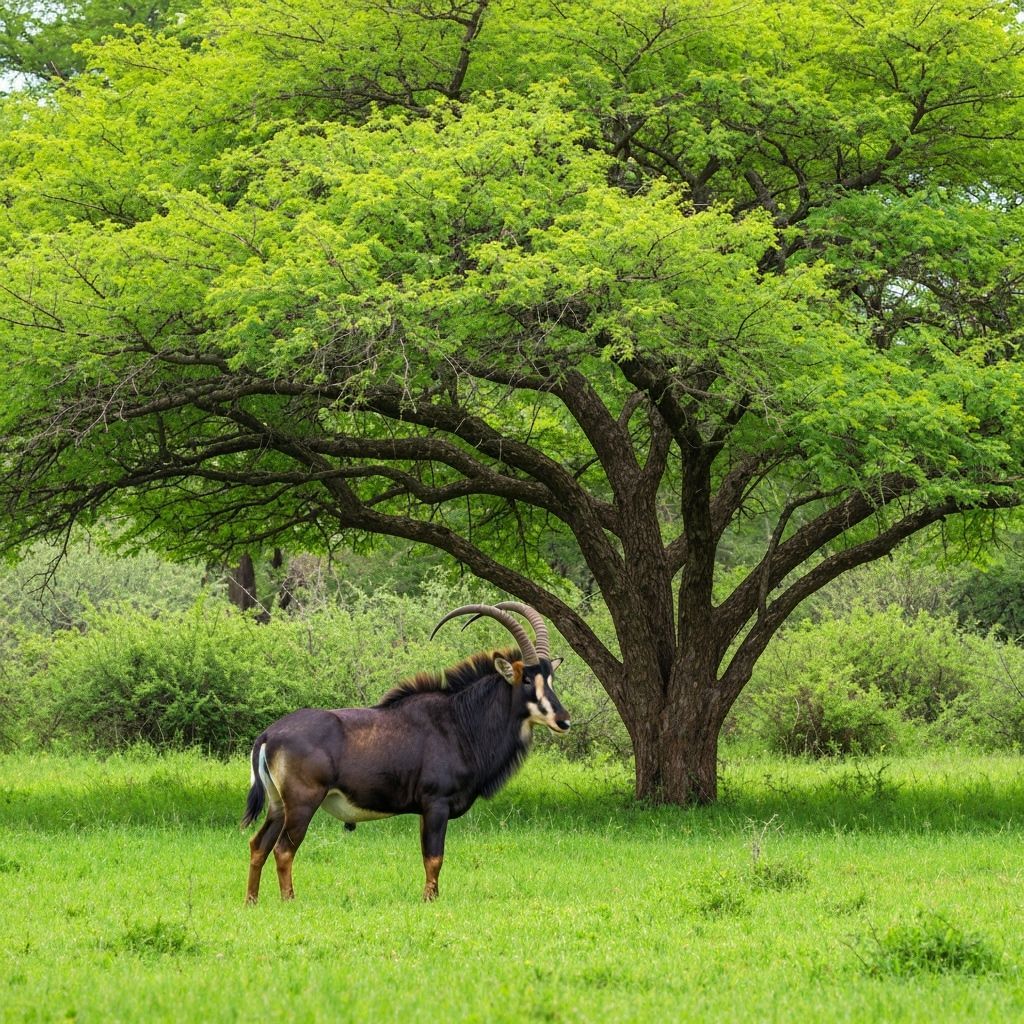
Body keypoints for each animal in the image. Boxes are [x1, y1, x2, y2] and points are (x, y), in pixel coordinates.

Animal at [241, 602, 570, 903]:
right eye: (525, 679)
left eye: (550, 679)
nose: (563, 720)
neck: (460, 722)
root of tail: (269, 735)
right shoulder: (436, 803)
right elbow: (435, 857)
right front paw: (429, 901)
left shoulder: (425, 809)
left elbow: (428, 857)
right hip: (302, 804)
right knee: (283, 850)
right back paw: (289, 901)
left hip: (278, 805)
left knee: (259, 845)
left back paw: (251, 902)